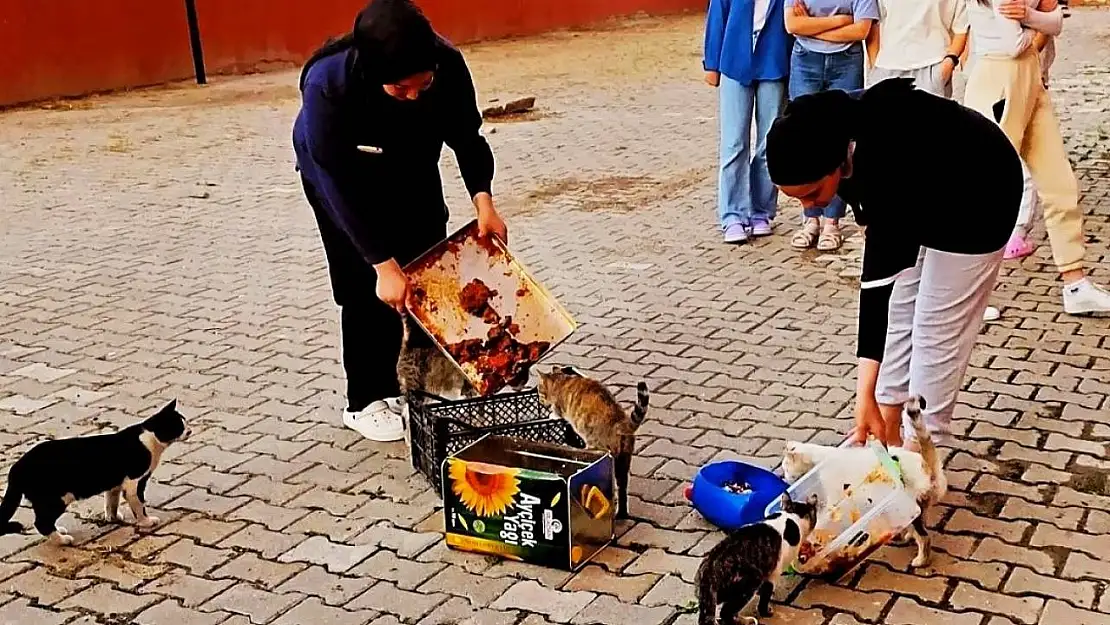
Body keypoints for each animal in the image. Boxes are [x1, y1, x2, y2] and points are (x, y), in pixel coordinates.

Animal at [0, 404, 189, 546]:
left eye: (185, 421)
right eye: (180, 426)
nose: (190, 430)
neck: (150, 438)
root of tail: (17, 467)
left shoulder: (115, 484)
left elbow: (111, 502)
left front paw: (113, 518)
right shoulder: (135, 481)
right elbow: (138, 504)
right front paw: (146, 521)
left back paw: (59, 531)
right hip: (57, 498)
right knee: (41, 522)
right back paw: (62, 540)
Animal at [532, 368, 648, 521]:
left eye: (539, 390)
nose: (540, 400)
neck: (561, 381)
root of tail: (622, 424)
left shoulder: (559, 406)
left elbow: (556, 412)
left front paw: (552, 414)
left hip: (599, 448)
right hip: (623, 461)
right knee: (622, 488)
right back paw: (621, 514)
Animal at [697, 495, 821, 625]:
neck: (791, 516)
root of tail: (710, 572)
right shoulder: (773, 574)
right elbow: (765, 597)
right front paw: (766, 612)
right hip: (749, 583)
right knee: (726, 612)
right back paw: (744, 621)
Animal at [781, 399, 945, 568]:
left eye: (785, 467)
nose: (784, 477)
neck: (819, 459)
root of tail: (927, 468)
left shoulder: (834, 496)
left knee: (924, 537)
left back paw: (921, 560)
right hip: (916, 506)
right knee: (920, 521)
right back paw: (906, 535)